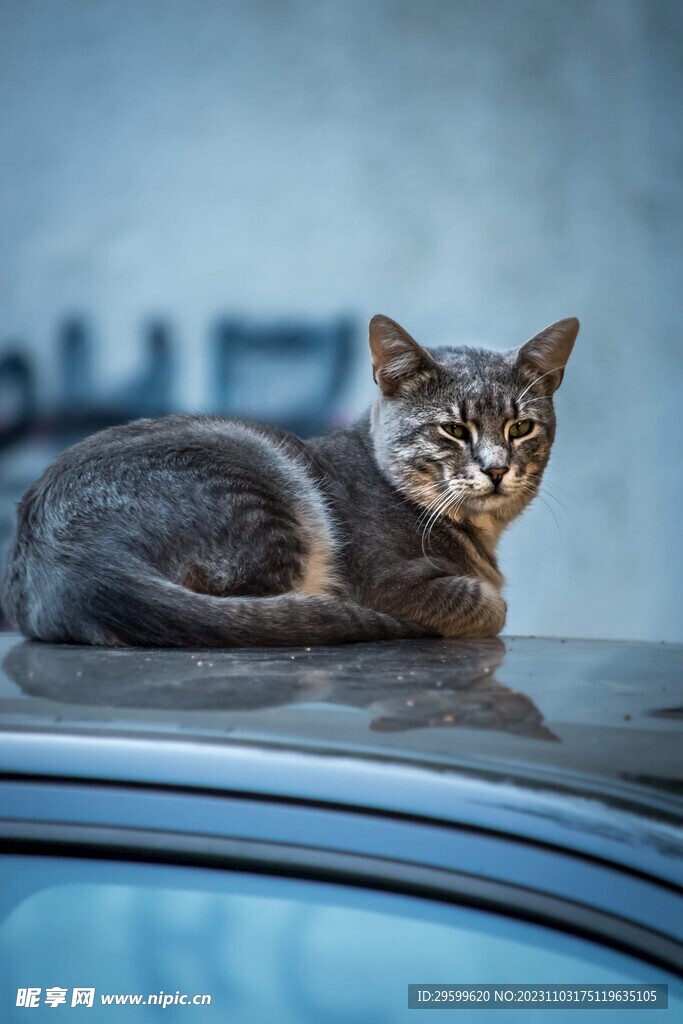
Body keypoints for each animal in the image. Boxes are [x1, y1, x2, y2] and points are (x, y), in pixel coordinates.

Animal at [0, 313, 577, 647]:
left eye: (520, 427)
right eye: (454, 429)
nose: (497, 468)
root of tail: (66, 558)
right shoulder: (394, 582)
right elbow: (487, 604)